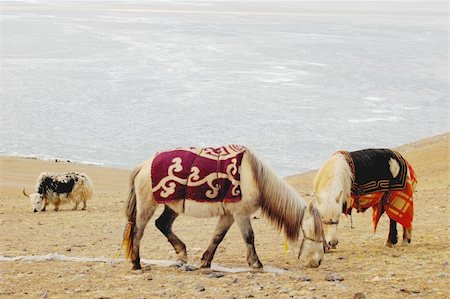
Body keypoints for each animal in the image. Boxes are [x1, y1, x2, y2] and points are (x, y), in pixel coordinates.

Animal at [119, 145, 324, 272]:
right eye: (312, 232)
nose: (318, 261)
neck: (253, 177)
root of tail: (143, 166)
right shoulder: (240, 214)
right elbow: (249, 237)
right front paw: (256, 263)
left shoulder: (229, 215)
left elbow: (217, 237)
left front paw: (205, 261)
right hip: (147, 204)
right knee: (138, 231)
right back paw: (136, 263)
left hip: (172, 205)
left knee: (162, 224)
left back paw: (182, 253)